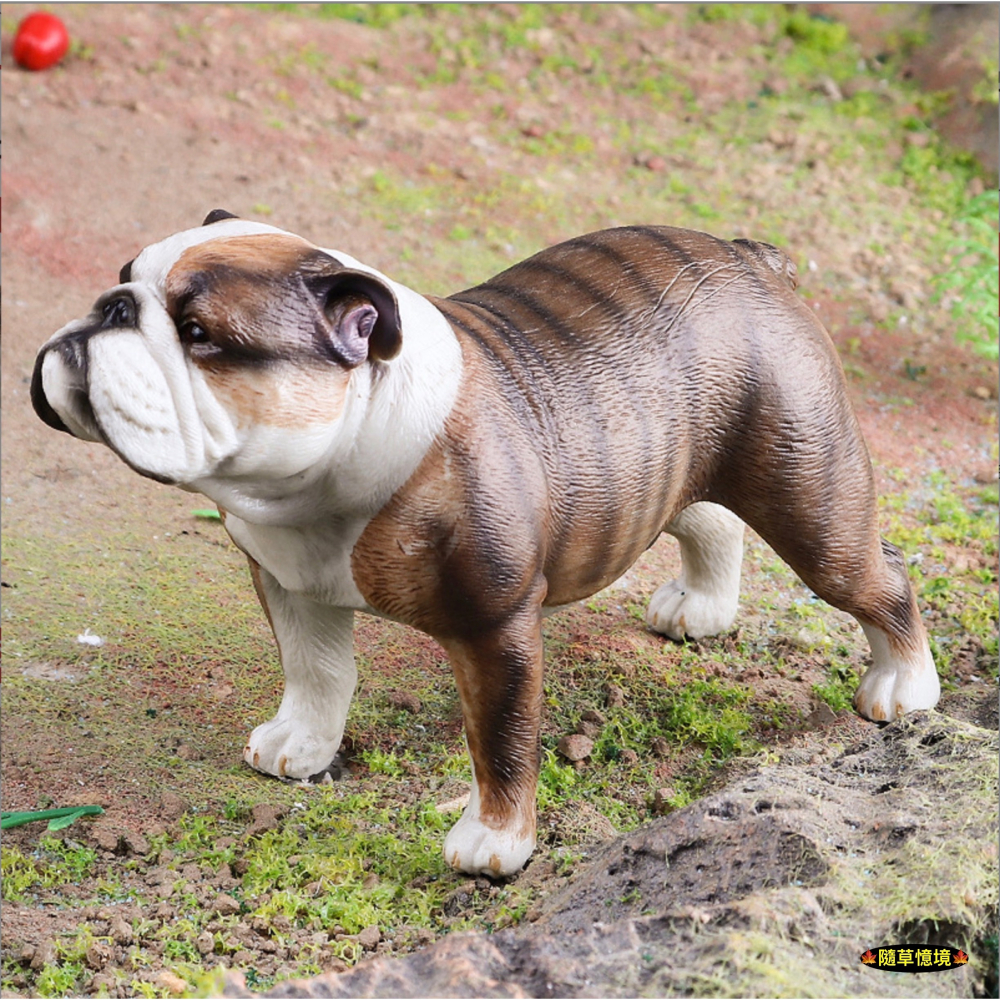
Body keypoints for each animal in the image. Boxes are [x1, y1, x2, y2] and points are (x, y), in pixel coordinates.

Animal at [31, 211, 936, 876]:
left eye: (198, 333)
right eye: (123, 276)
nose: (107, 309)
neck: (329, 465)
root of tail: (754, 263)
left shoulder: (496, 631)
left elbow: (500, 739)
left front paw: (495, 843)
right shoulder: (286, 582)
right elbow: (316, 673)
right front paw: (302, 746)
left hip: (809, 497)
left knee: (877, 575)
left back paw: (903, 688)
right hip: (666, 464)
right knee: (708, 518)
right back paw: (702, 610)